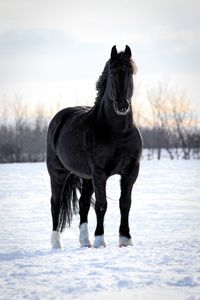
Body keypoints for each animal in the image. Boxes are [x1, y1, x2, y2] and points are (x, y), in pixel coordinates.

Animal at [47, 45, 142, 248]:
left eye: (130, 73)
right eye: (112, 72)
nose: (122, 106)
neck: (118, 132)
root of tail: (58, 118)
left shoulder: (131, 171)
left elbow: (125, 203)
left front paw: (125, 239)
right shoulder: (100, 173)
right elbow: (101, 205)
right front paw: (100, 240)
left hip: (86, 177)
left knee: (83, 204)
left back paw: (85, 242)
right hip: (58, 174)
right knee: (55, 204)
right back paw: (56, 244)